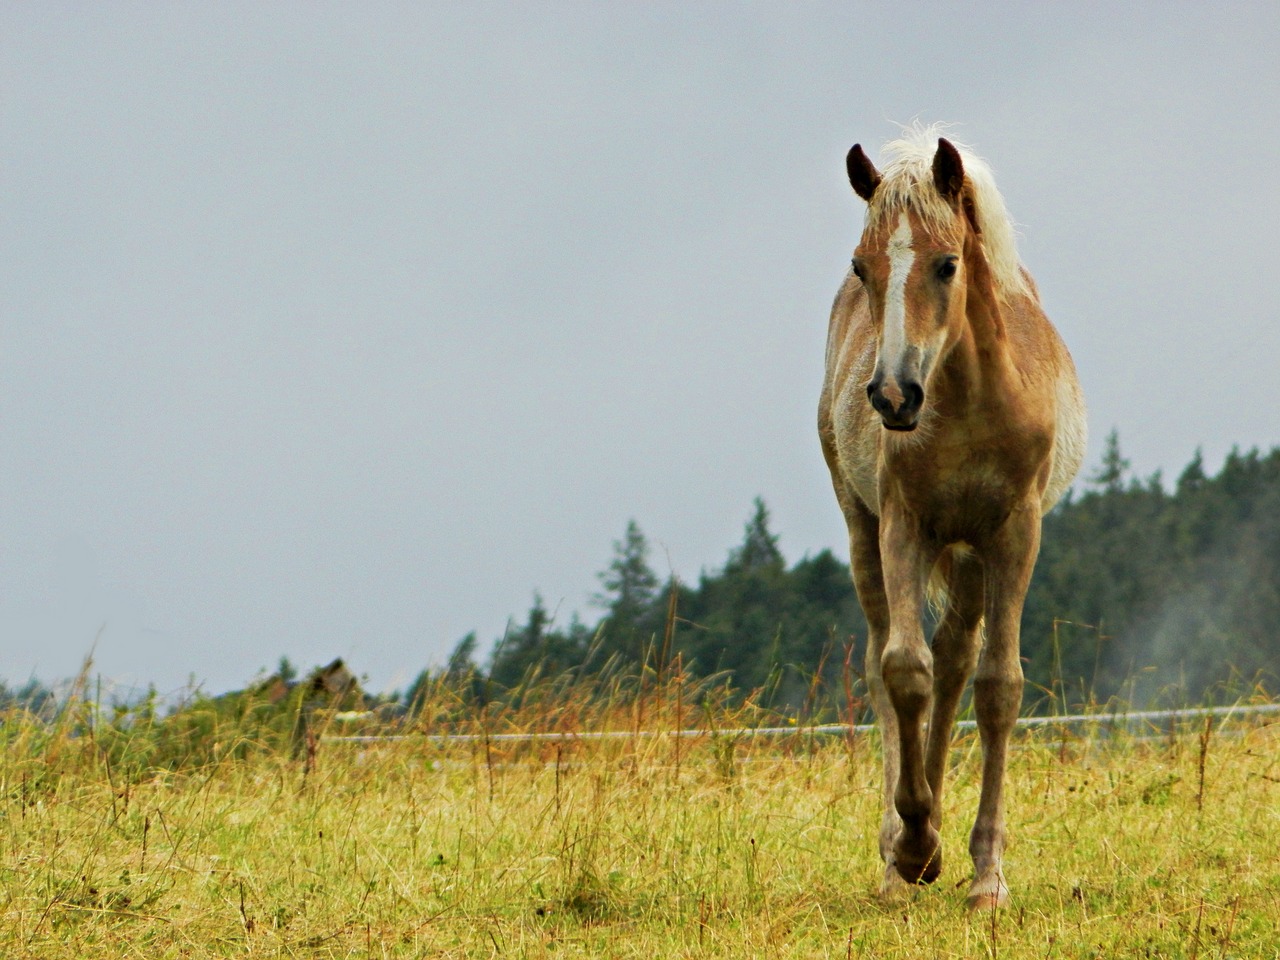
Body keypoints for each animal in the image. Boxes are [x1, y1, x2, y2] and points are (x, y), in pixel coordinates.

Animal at [819, 129, 1090, 911]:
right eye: (862, 265)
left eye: (947, 264)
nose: (892, 395)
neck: (970, 403)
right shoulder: (902, 525)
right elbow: (902, 670)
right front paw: (913, 848)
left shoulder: (1015, 532)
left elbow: (997, 686)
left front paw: (986, 876)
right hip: (865, 529)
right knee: (896, 664)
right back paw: (901, 854)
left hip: (971, 554)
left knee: (956, 659)